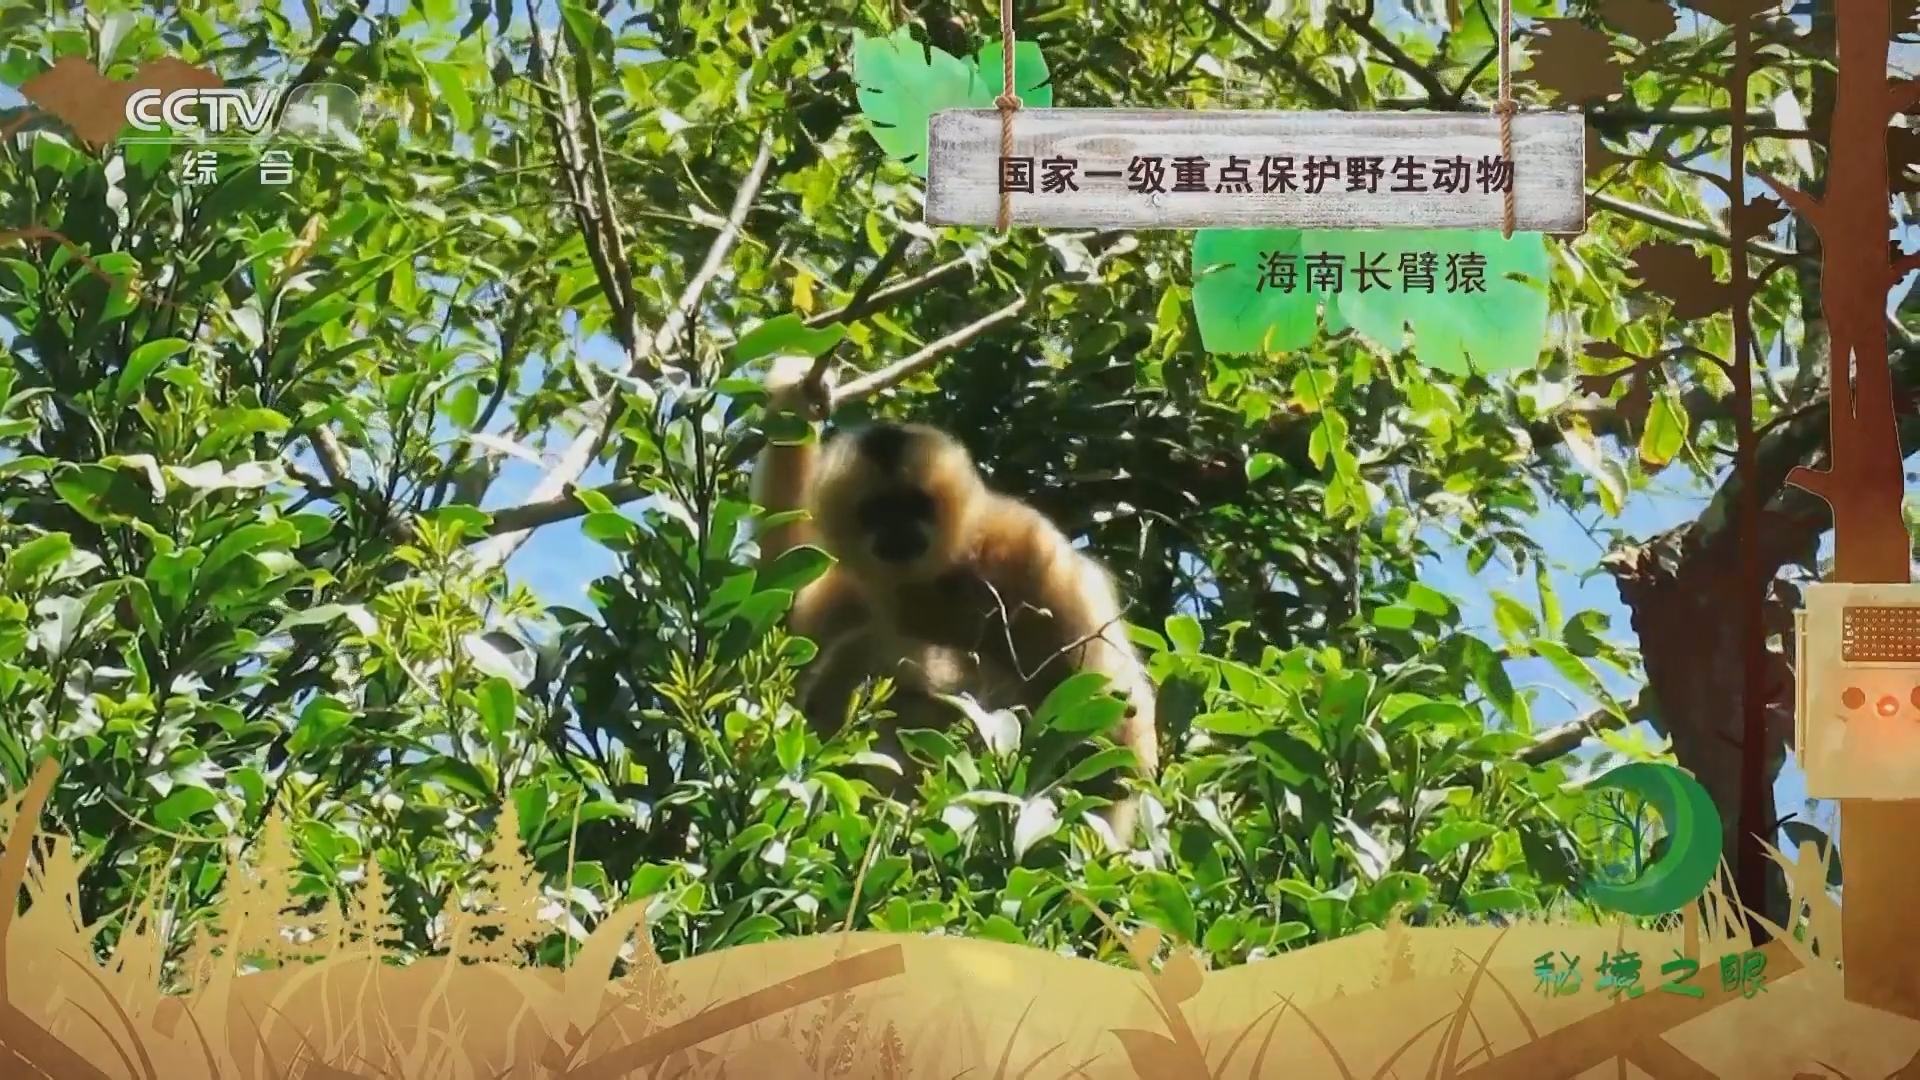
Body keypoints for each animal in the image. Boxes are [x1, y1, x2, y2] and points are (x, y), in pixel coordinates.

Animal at [750, 355, 1160, 847]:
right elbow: (778, 632)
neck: (938, 577)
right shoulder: (847, 588)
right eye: (877, 512)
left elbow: (1114, 747)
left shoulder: (1036, 556)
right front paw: (799, 394)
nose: (897, 532)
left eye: (914, 505)